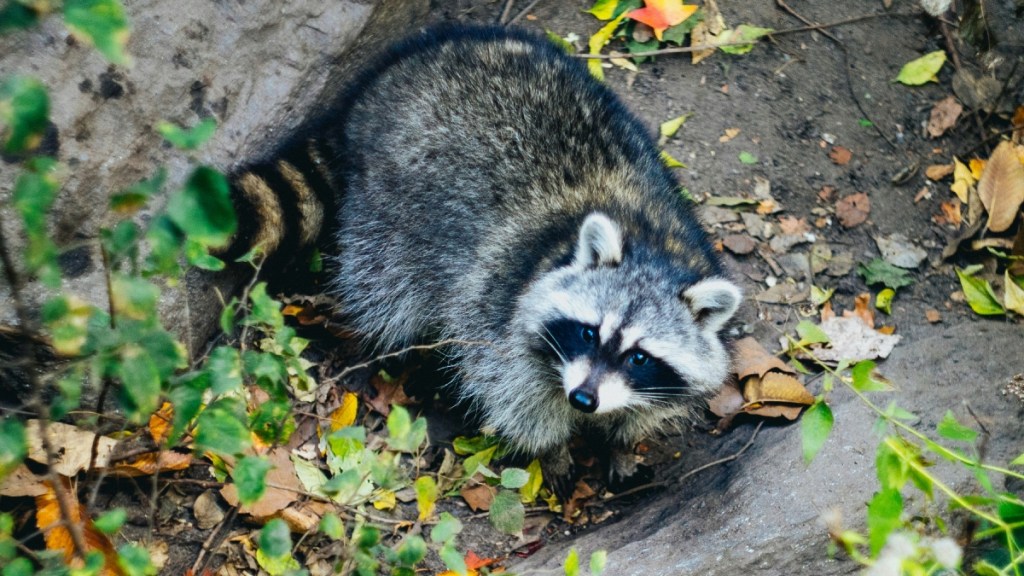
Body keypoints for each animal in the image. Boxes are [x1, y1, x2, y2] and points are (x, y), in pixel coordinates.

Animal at [230, 23, 745, 487]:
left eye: (639, 357)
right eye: (587, 332)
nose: (583, 400)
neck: (653, 245)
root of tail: (380, 86)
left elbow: (648, 406)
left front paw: (621, 443)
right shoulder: (498, 306)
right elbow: (513, 395)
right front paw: (553, 452)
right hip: (389, 210)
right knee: (386, 287)